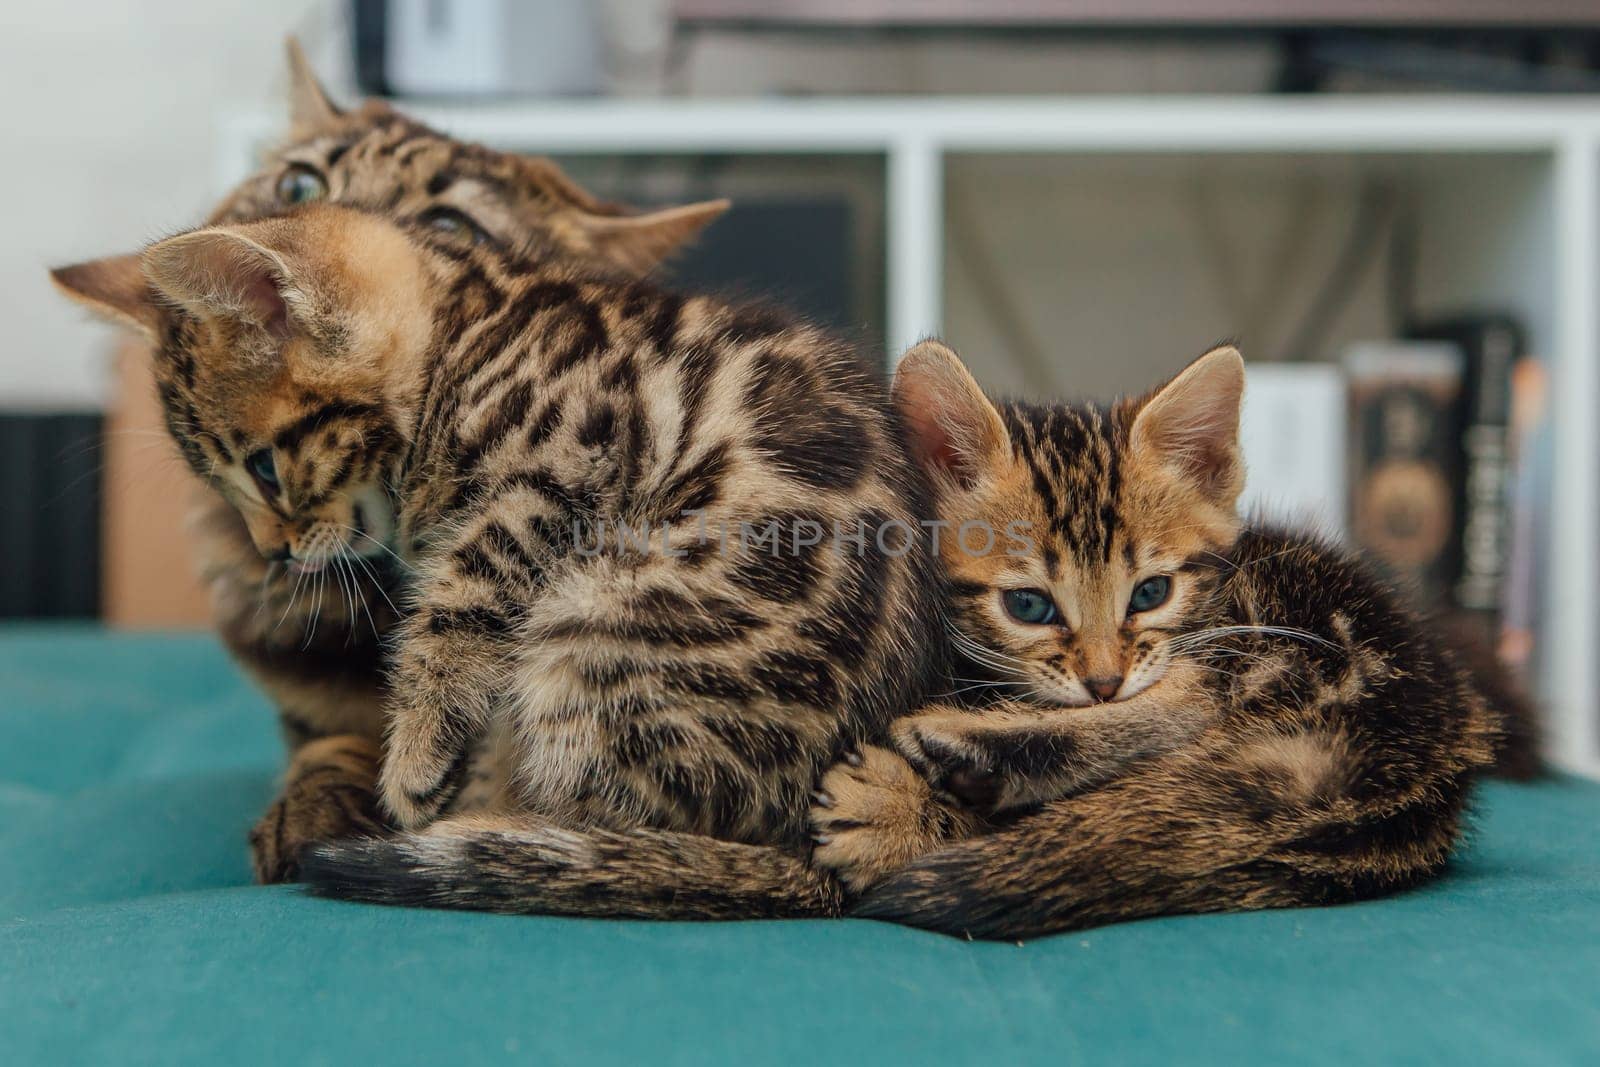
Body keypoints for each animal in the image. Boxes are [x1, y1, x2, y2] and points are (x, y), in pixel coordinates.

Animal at [56, 204, 940, 921]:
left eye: (266, 469)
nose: (274, 549)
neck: (465, 331)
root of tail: (804, 853)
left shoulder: (564, 465)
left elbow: (460, 604)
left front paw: (414, 757)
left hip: (597, 625)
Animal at [812, 343, 1497, 940]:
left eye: (1151, 593)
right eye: (1028, 605)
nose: (1104, 682)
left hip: (1270, 631)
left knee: (1191, 707)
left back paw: (948, 758)